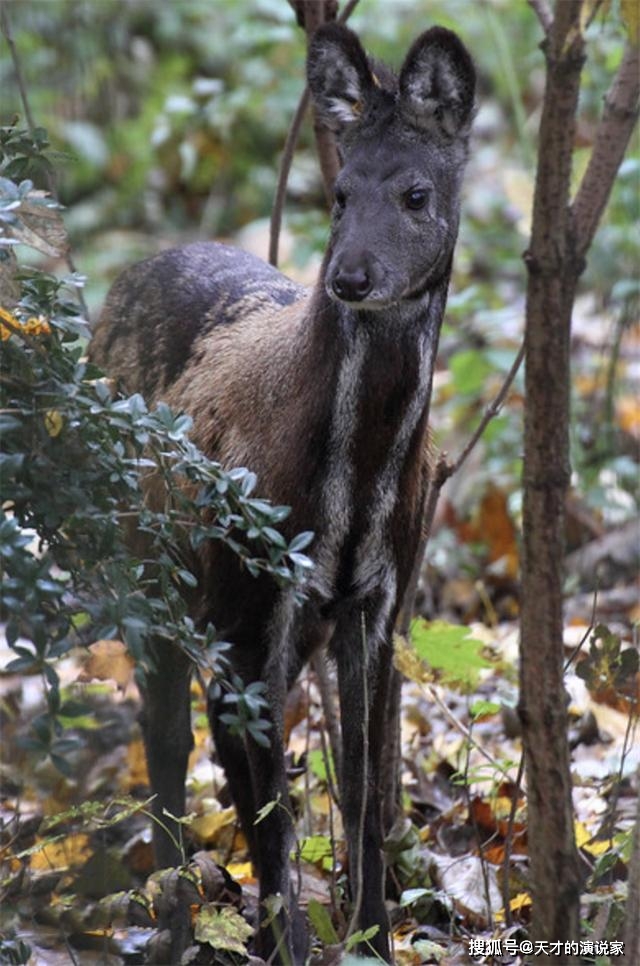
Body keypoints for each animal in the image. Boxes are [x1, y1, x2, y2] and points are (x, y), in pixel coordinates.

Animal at [91, 22, 476, 966]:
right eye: (338, 192)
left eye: (416, 193)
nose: (351, 277)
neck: (349, 493)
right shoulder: (244, 601)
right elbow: (270, 808)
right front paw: (289, 942)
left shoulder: (376, 599)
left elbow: (364, 787)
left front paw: (373, 937)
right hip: (145, 567)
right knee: (165, 746)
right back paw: (173, 923)